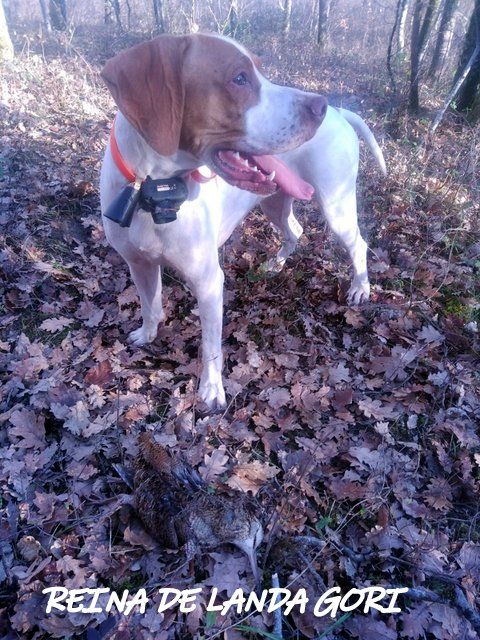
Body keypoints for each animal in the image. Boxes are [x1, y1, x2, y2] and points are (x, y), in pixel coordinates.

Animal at [100, 32, 386, 408]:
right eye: (239, 78)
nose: (319, 107)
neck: (155, 190)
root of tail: (340, 113)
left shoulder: (209, 283)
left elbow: (211, 347)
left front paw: (211, 389)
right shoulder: (139, 264)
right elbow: (151, 306)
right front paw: (148, 334)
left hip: (336, 206)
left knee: (358, 244)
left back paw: (360, 287)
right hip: (275, 202)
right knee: (295, 230)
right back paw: (276, 264)